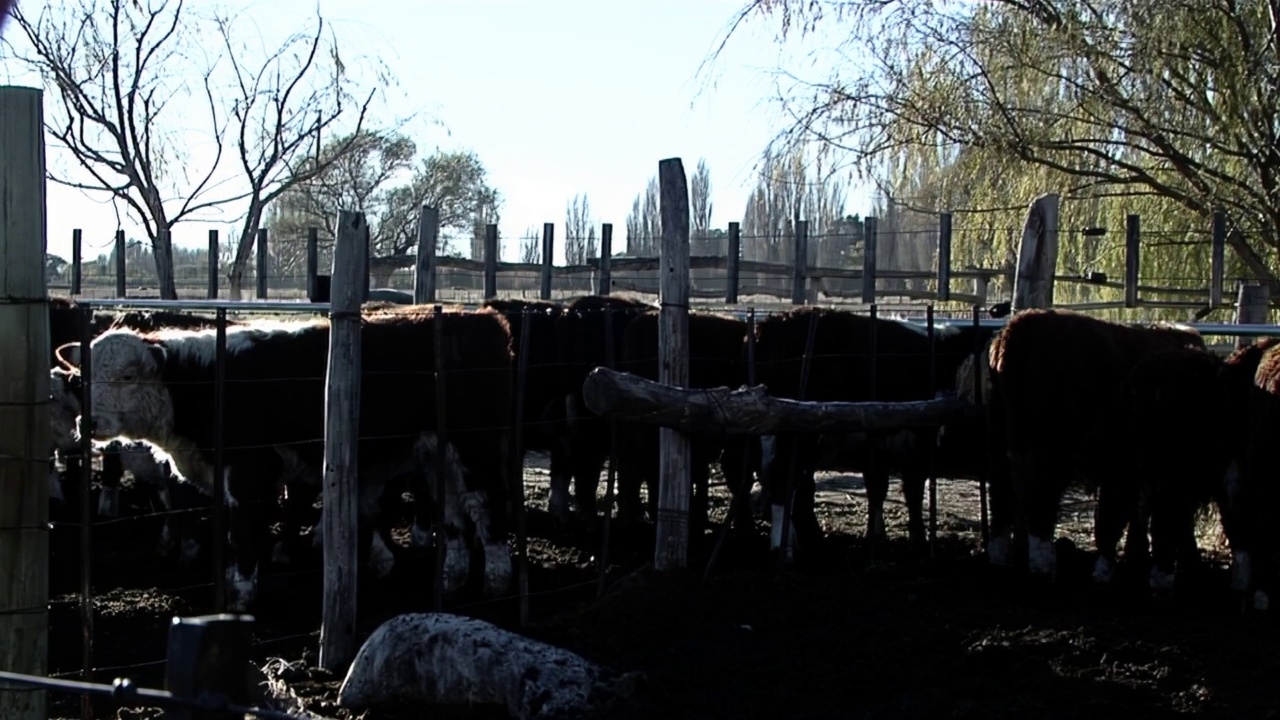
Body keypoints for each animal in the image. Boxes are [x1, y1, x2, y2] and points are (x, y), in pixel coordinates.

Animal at [53, 304, 514, 607]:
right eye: (82, 378)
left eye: (128, 376)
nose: (88, 424)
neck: (209, 383)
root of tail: (480, 317)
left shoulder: (250, 473)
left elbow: (245, 535)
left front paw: (240, 597)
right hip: (437, 455)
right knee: (452, 512)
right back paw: (451, 582)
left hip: (476, 445)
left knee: (486, 505)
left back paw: (496, 582)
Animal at [747, 304, 998, 558]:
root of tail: (773, 323)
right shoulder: (920, 439)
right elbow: (913, 491)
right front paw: (918, 539)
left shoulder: (882, 447)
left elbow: (878, 488)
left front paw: (877, 536)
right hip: (796, 433)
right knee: (782, 479)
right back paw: (782, 547)